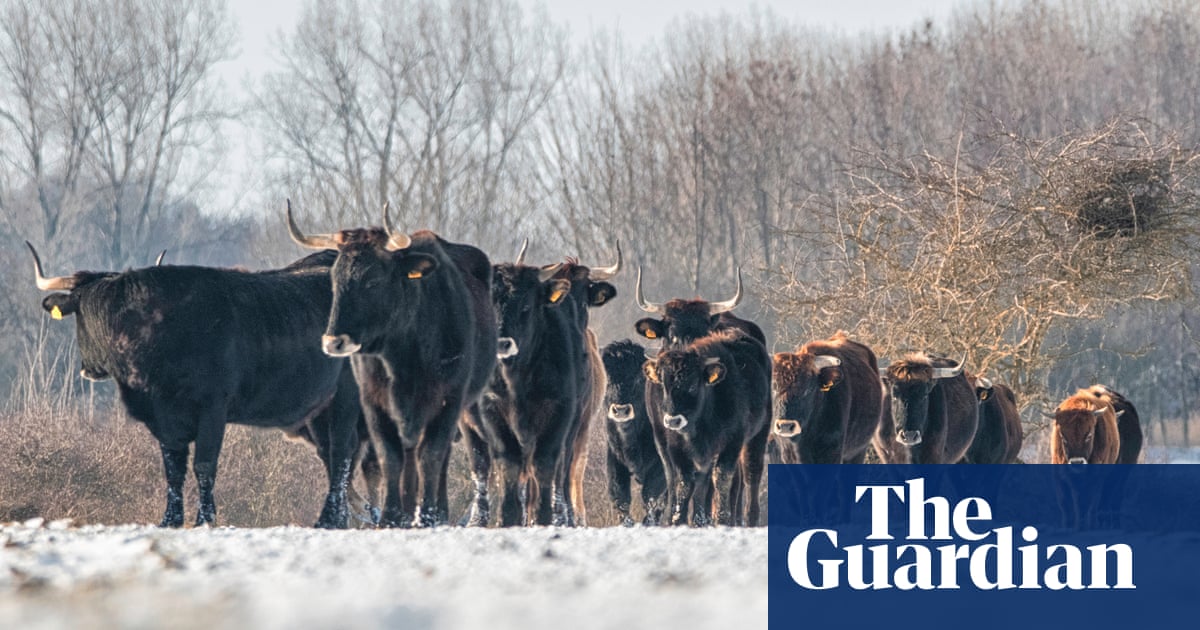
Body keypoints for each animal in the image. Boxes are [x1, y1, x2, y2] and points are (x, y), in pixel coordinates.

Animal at [28, 238, 362, 528]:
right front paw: (170, 519)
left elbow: (204, 465)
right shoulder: (163, 416)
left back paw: (331, 520)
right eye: (83, 312)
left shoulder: (213, 408)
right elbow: (173, 470)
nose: (91, 370)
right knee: (332, 457)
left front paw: (204, 519)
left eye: (107, 317)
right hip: (319, 411)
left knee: (341, 455)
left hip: (346, 400)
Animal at [285, 201, 496, 525]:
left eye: (373, 280)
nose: (334, 341)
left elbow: (431, 456)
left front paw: (429, 515)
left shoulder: (447, 400)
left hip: (467, 406)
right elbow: (389, 458)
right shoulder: (375, 404)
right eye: (335, 279)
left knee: (473, 455)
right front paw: (391, 516)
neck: (405, 356)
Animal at [600, 338, 667, 525]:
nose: (621, 411)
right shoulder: (614, 460)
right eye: (607, 379)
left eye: (638, 379)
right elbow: (620, 499)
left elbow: (651, 498)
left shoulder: (660, 467)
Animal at [648, 328, 768, 525]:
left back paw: (750, 519)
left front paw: (722, 519)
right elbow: (684, 482)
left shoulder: (732, 442)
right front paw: (678, 520)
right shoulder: (677, 448)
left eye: (693, 386)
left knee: (751, 474)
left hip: (758, 434)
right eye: (664, 385)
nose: (673, 420)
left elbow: (721, 478)